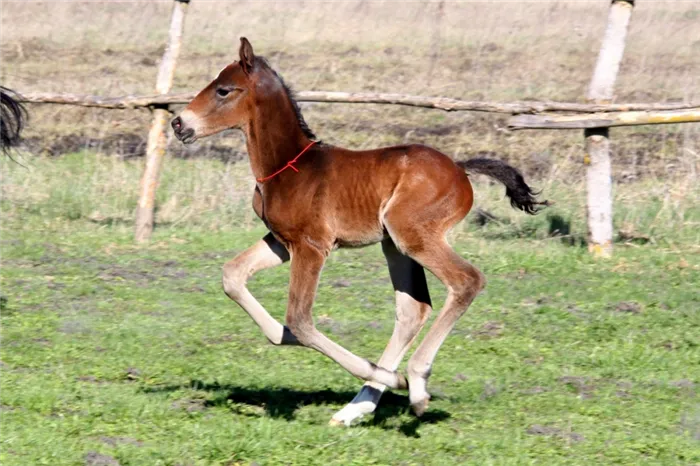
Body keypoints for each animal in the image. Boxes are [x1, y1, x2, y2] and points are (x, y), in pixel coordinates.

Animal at [171, 39, 548, 426]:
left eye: (223, 90)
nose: (178, 123)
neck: (289, 167)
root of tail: (460, 169)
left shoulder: (312, 246)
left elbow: (300, 321)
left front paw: (393, 378)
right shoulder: (281, 242)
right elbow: (233, 277)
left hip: (413, 236)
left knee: (466, 281)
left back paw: (414, 384)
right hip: (394, 245)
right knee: (412, 310)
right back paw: (358, 407)